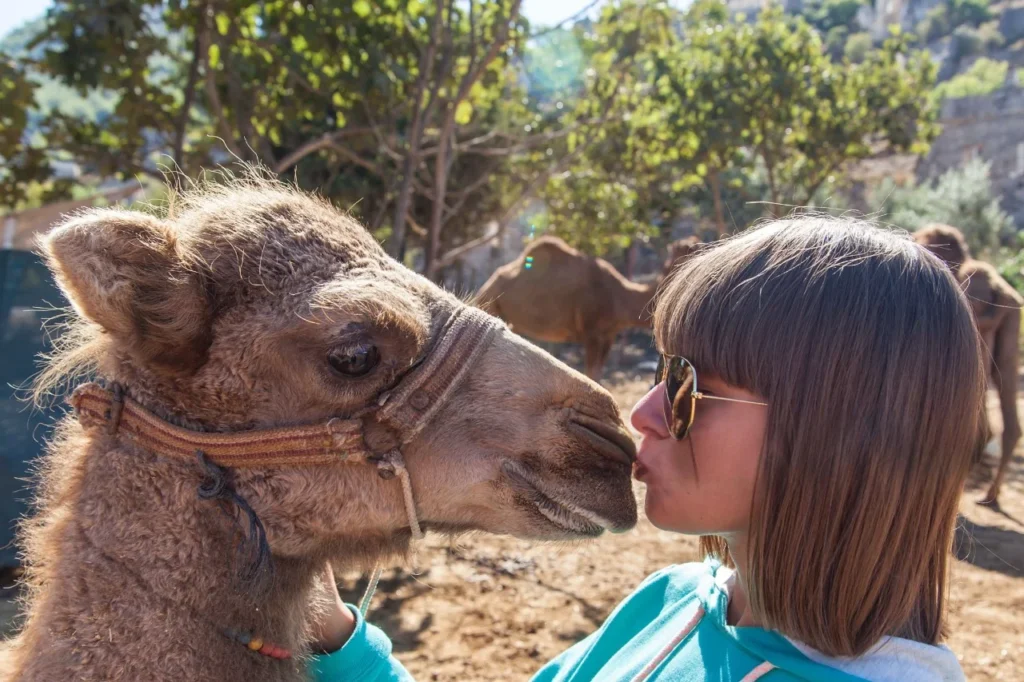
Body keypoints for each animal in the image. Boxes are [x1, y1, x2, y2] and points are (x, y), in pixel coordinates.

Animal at [473, 236, 700, 378]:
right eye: (689, 250)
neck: (619, 298)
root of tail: (486, 286)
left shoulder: (608, 336)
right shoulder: (591, 334)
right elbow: (591, 374)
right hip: (491, 304)